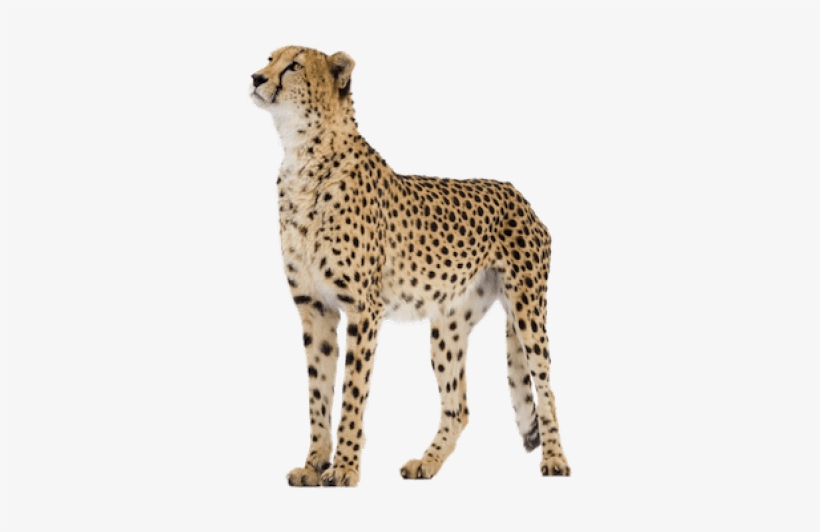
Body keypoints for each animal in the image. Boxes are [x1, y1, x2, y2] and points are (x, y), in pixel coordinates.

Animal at [250, 45, 570, 486]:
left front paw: (344, 467)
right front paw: (314, 464)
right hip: (448, 325)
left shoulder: (363, 309)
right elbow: (318, 394)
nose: (255, 78)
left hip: (527, 310)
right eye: (269, 59)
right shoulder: (314, 308)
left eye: (295, 65)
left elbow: (351, 393)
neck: (302, 154)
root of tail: (516, 193)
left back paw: (555, 460)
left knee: (546, 386)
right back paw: (426, 462)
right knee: (458, 407)